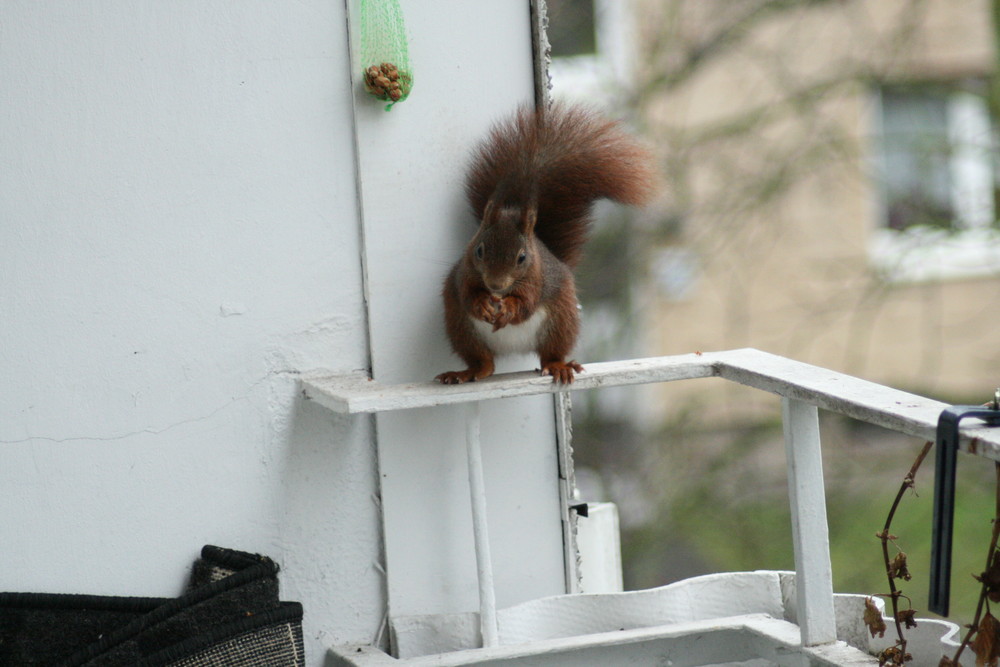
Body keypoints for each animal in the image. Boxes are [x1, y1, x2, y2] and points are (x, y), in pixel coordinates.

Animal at [436, 104, 656, 386]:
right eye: (479, 250)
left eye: (522, 257)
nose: (495, 285)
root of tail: (513, 347)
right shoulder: (464, 275)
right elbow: (467, 295)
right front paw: (482, 303)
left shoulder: (537, 280)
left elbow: (526, 304)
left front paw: (509, 308)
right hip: (462, 330)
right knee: (484, 362)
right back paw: (466, 372)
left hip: (561, 322)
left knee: (549, 354)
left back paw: (558, 366)